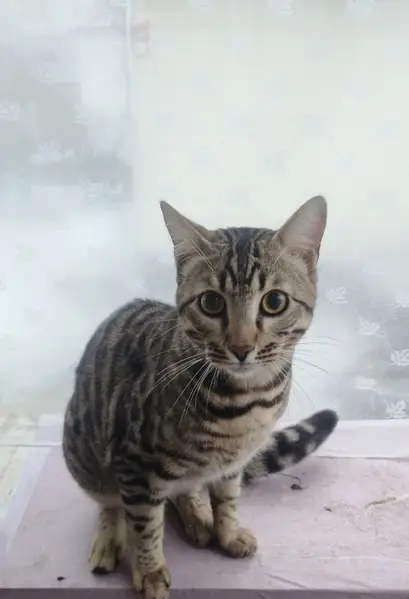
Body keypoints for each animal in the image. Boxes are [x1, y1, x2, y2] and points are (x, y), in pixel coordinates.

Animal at [63, 195, 337, 599]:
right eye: (211, 302)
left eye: (274, 301)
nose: (241, 348)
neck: (247, 404)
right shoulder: (132, 462)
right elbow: (145, 525)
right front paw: (150, 570)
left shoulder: (232, 463)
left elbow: (227, 498)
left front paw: (226, 531)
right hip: (84, 452)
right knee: (110, 502)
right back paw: (111, 536)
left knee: (183, 490)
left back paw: (196, 514)